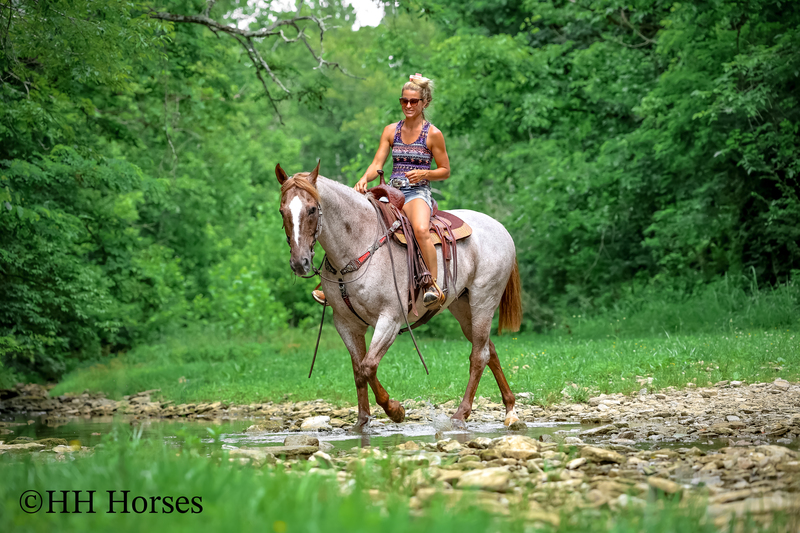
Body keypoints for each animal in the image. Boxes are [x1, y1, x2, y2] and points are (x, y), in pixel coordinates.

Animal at [275, 161, 523, 429]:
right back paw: (510, 408)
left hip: (483, 301)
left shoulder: (389, 320)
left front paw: (395, 410)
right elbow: (358, 370)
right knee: (489, 350)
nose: (300, 263)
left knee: (479, 356)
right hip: (462, 306)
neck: (357, 243)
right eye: (282, 211)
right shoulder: (346, 324)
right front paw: (362, 421)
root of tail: (501, 228)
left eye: (312, 209)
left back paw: (461, 414)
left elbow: (368, 367)